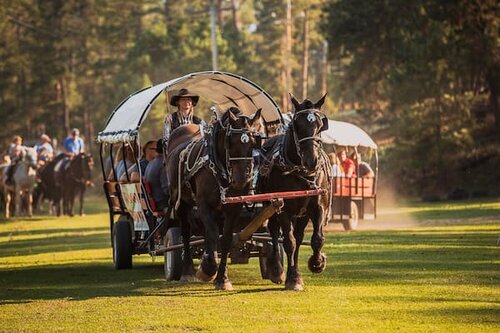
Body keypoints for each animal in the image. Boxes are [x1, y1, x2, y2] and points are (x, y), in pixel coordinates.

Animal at [166, 106, 264, 288]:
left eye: (255, 142)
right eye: (231, 142)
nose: (242, 179)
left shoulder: (233, 208)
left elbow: (225, 239)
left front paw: (222, 278)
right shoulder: (203, 204)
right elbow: (212, 234)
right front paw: (208, 270)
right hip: (181, 202)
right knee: (185, 233)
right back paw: (187, 271)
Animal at [258, 92, 332, 288]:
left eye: (320, 125)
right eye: (297, 125)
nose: (312, 160)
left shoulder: (318, 206)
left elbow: (317, 239)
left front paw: (317, 263)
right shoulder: (283, 209)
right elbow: (288, 242)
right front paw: (291, 277)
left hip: (302, 214)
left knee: (298, 237)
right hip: (270, 206)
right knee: (275, 233)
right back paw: (277, 268)